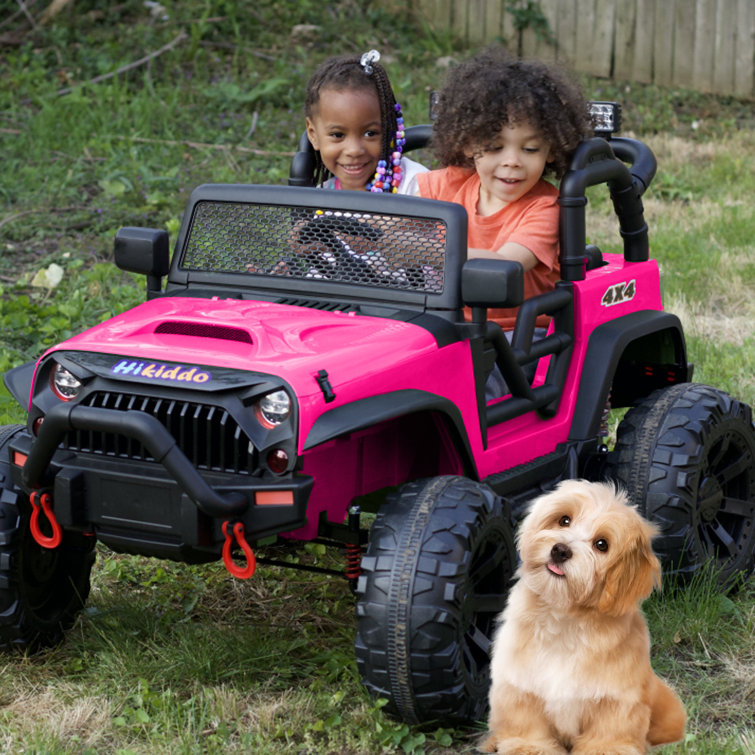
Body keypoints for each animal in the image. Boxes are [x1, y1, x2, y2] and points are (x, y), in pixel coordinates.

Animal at [482, 482, 688, 752]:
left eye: (601, 544)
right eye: (564, 520)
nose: (560, 550)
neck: (564, 618)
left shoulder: (617, 699)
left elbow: (610, 731)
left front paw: (605, 749)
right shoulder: (520, 686)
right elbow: (527, 724)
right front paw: (530, 748)